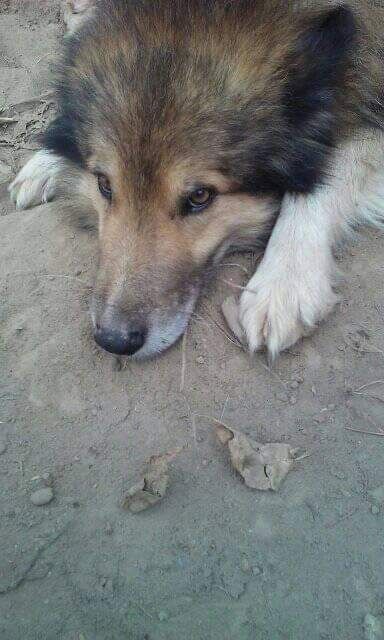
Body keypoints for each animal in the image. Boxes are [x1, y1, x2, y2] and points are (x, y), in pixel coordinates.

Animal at [7, 0, 384, 360]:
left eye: (200, 196)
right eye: (104, 184)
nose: (114, 340)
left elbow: (329, 174)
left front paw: (284, 281)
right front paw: (46, 159)